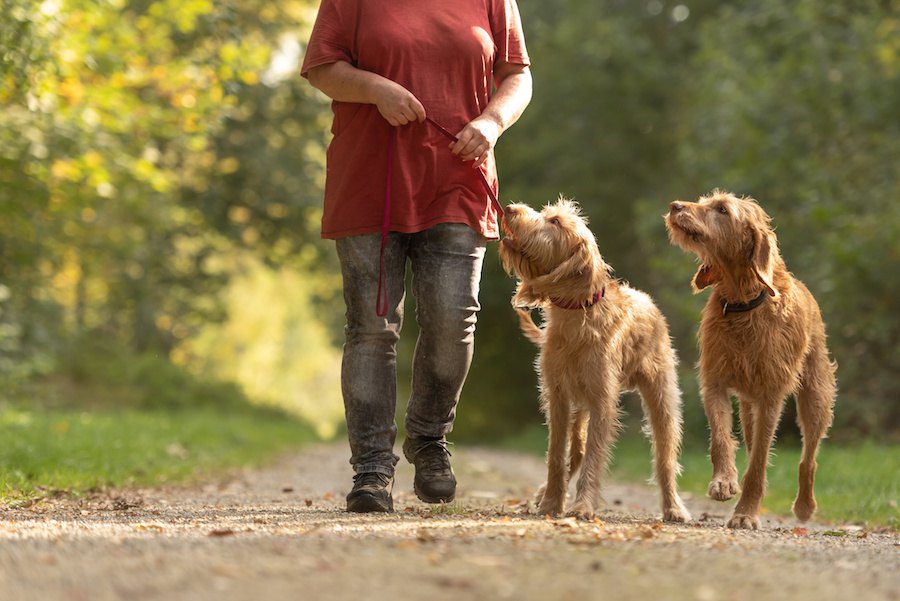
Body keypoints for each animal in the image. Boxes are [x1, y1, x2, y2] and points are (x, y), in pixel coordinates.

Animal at [500, 197, 688, 520]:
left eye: (555, 223)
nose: (510, 209)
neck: (576, 316)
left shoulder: (602, 401)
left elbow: (594, 456)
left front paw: (582, 506)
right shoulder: (558, 397)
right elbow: (556, 455)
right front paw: (550, 503)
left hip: (661, 399)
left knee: (664, 458)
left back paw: (674, 507)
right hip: (579, 408)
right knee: (575, 450)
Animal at [664, 190, 840, 528]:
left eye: (722, 209)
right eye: (704, 201)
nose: (674, 206)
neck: (742, 304)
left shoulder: (771, 396)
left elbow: (759, 461)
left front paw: (745, 512)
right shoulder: (715, 381)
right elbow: (721, 438)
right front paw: (724, 481)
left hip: (816, 397)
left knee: (808, 458)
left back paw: (804, 506)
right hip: (748, 405)